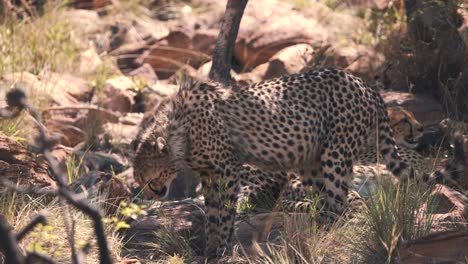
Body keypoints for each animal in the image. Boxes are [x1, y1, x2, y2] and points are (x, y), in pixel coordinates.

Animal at [134, 67, 416, 256]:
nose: (150, 194)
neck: (180, 133)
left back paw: (328, 235)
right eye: (141, 179)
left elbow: (224, 212)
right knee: (324, 201)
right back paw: (314, 234)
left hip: (336, 154)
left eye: (150, 178)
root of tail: (362, 82)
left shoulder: (227, 171)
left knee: (338, 203)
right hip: (311, 162)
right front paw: (211, 248)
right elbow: (212, 211)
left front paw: (222, 246)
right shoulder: (210, 174)